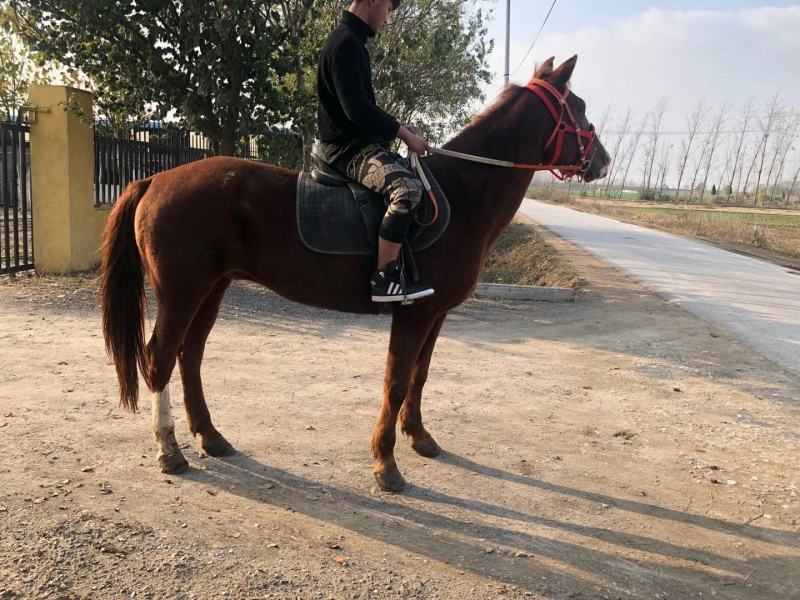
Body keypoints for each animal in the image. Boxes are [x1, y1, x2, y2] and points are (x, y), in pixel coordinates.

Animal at [100, 55, 610, 492]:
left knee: (190, 356)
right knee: (159, 358)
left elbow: (420, 374)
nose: (603, 160)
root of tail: (155, 179)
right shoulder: (413, 314)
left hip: (212, 289)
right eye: (579, 107)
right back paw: (169, 450)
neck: (460, 195)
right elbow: (397, 380)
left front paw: (419, 439)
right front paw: (386, 464)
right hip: (182, 292)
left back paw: (209, 436)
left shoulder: (435, 314)